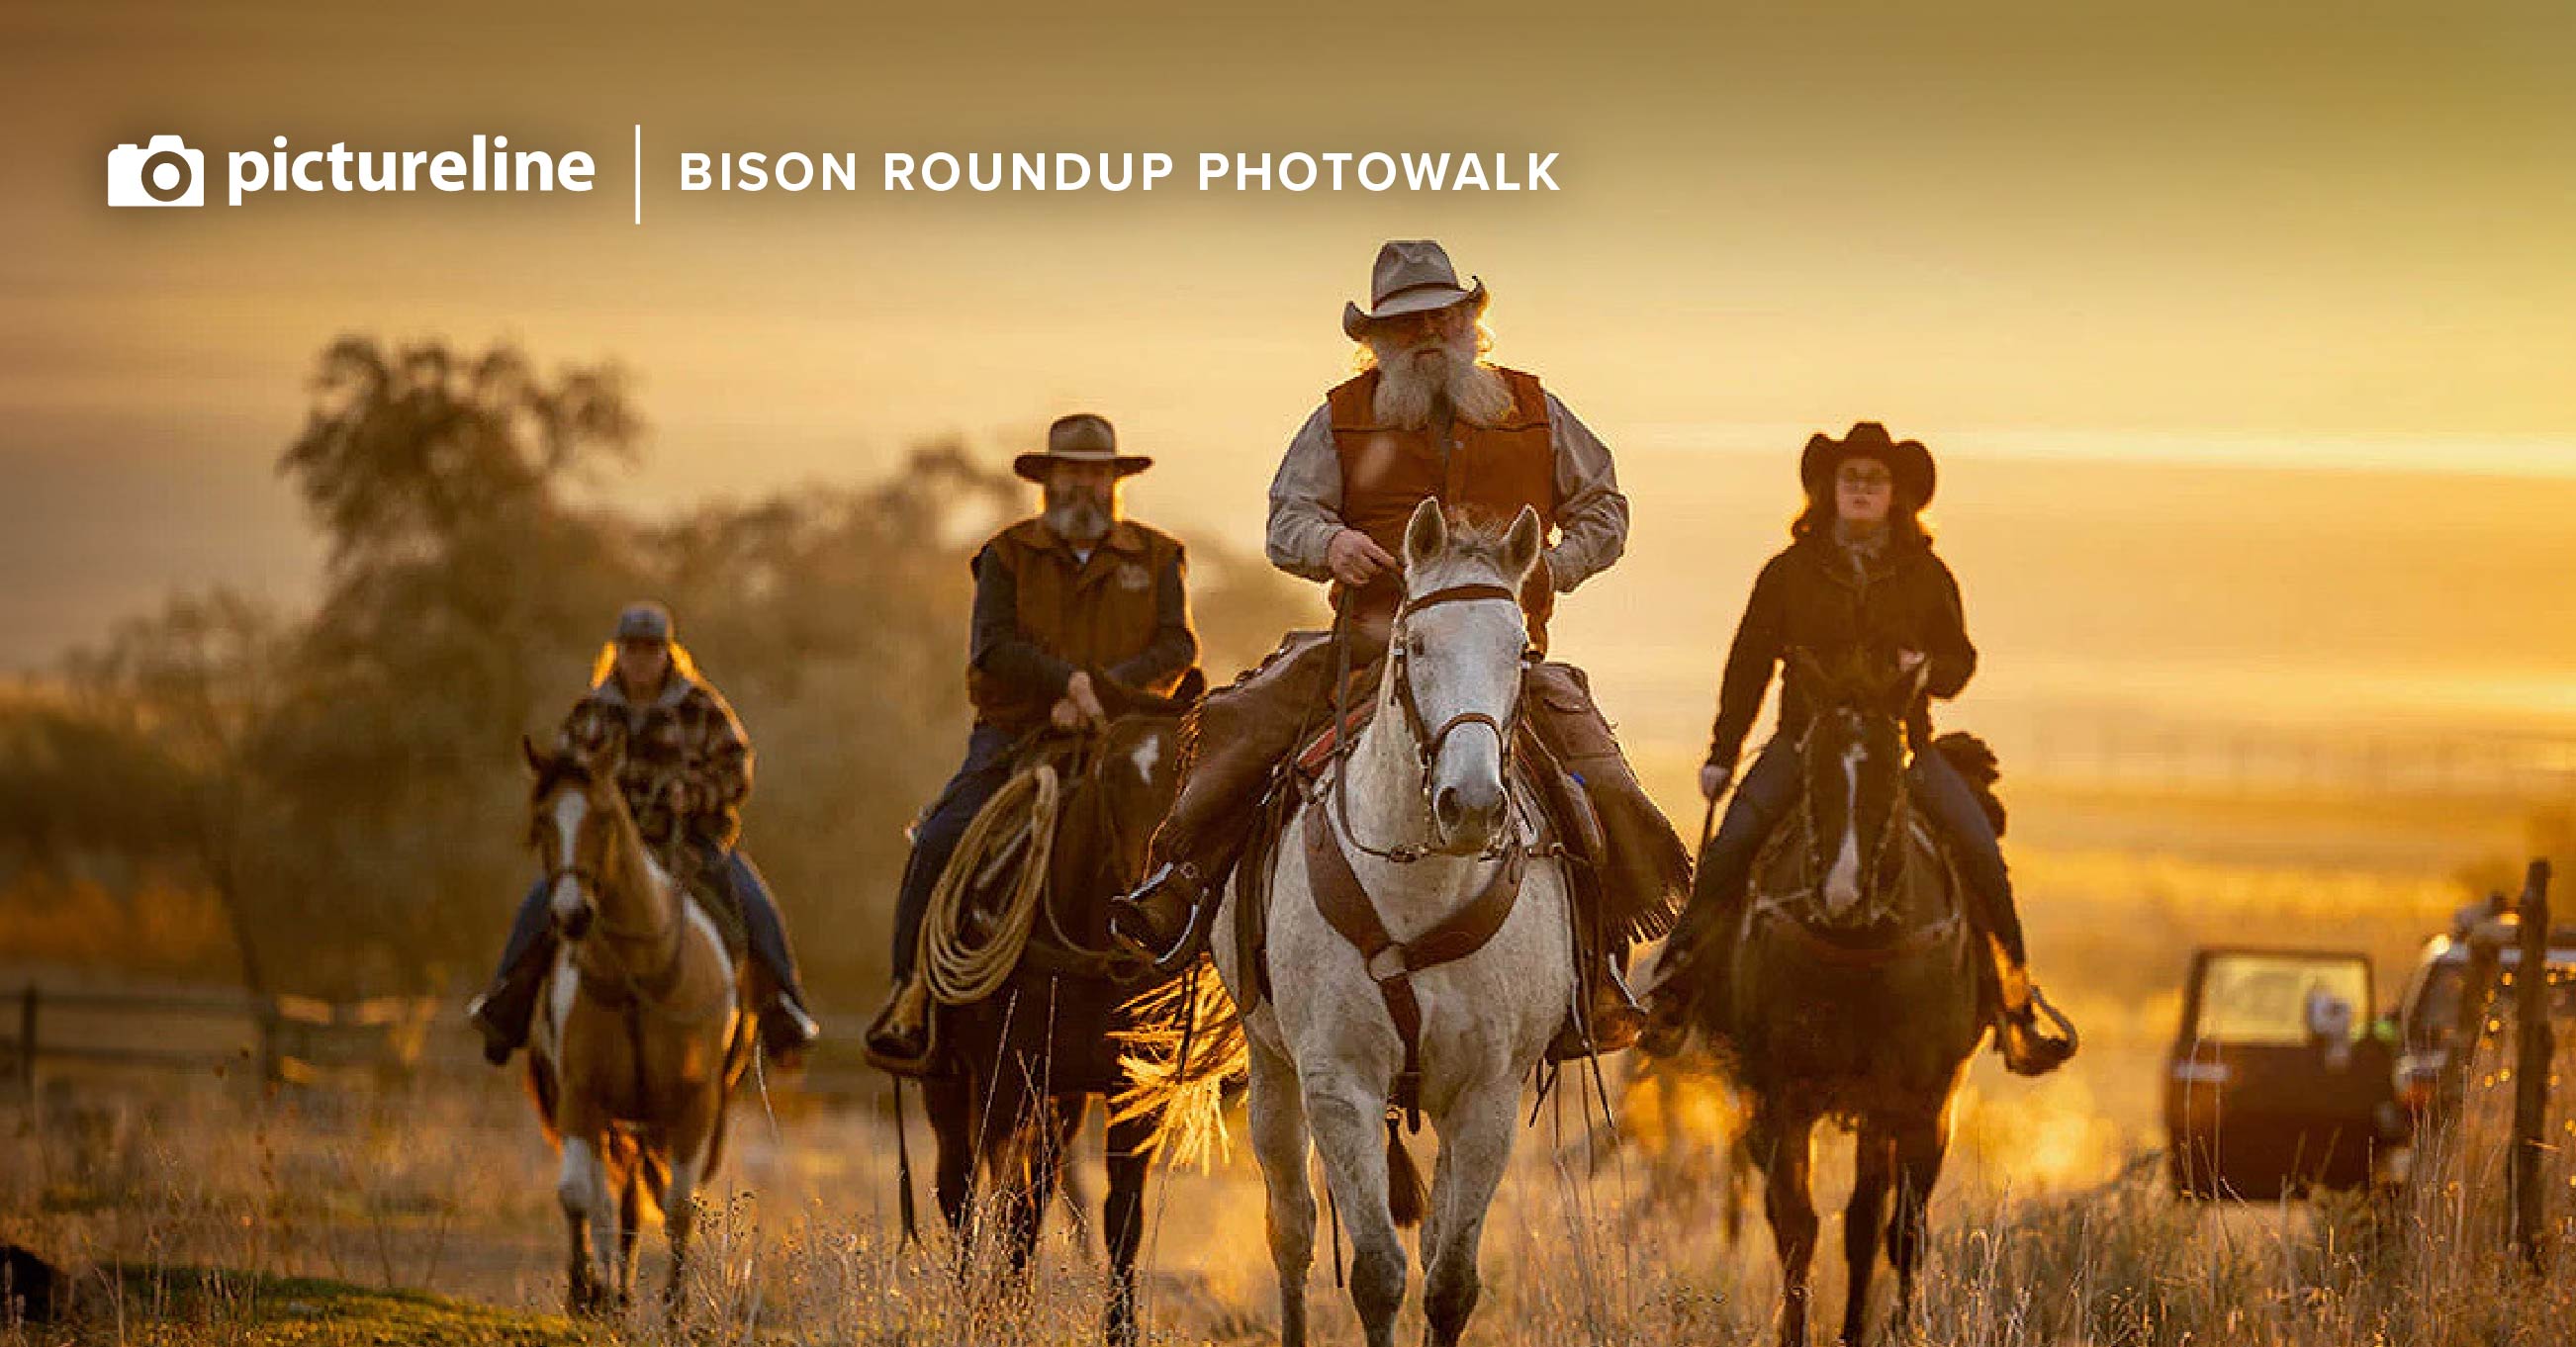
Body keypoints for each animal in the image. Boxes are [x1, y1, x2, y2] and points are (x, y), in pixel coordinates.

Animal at [517, 736, 752, 1318]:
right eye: (542, 821)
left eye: (603, 818)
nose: (572, 915)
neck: (636, 979)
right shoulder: (580, 1098)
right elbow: (581, 1196)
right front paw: (586, 1291)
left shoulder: (693, 1105)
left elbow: (679, 1206)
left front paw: (673, 1306)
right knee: (604, 1199)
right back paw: (609, 1292)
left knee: (633, 1203)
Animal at [917, 684, 1195, 1347]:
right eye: (1109, 777)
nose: (1145, 903)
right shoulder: (1008, 1080)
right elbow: (1005, 1203)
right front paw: (996, 1313)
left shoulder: (1131, 1094)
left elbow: (1120, 1214)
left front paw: (1119, 1329)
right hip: (953, 1085)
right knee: (961, 1191)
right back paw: (969, 1302)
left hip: (1062, 1100)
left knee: (1033, 1189)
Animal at [1216, 499, 1576, 1347]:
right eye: (1413, 645)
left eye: (1520, 652)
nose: (1471, 805)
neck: (1419, 886)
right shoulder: (1338, 1082)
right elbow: (1377, 1271)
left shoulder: (1487, 1097)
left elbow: (1450, 1280)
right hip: (1271, 1066)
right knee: (1292, 1229)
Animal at [1710, 649, 1988, 1339]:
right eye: (1814, 771)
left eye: (1891, 772)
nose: (1842, 894)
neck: (1856, 952)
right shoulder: (1783, 1096)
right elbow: (1797, 1225)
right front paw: (1797, 1330)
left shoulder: (1913, 1100)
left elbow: (1889, 1228)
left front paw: (1887, 1329)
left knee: (1883, 1221)